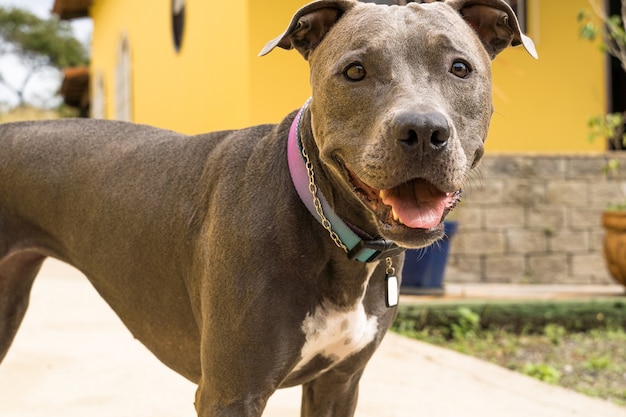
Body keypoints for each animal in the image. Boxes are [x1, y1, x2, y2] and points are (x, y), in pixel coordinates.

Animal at [1, 0, 536, 414]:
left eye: (460, 68)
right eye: (355, 71)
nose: (423, 131)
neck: (330, 232)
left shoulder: (338, 385)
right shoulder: (230, 394)